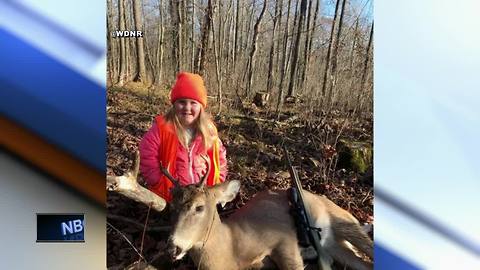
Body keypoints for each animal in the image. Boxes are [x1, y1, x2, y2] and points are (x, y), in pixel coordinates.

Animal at [107, 152, 374, 270]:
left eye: (199, 207)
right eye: (172, 208)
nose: (173, 247)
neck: (232, 249)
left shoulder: (285, 241)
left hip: (343, 222)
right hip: (336, 247)